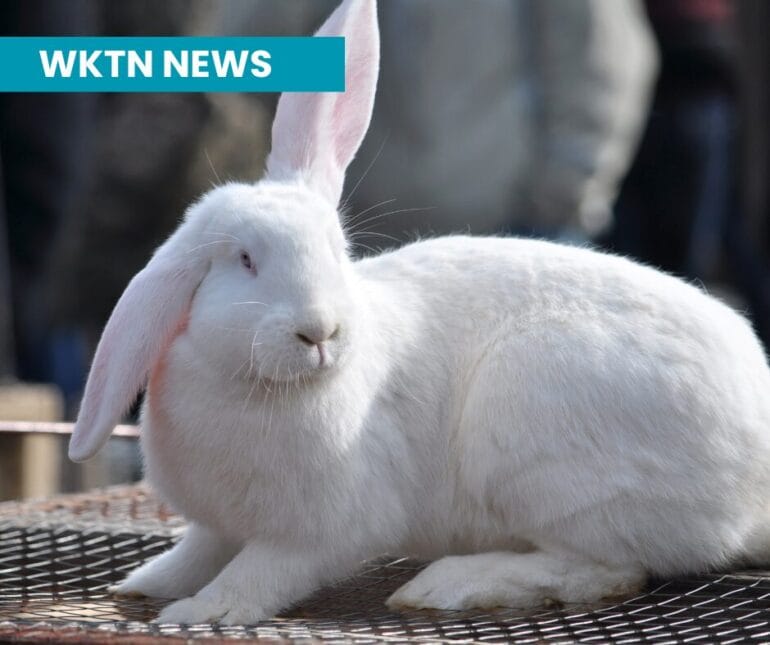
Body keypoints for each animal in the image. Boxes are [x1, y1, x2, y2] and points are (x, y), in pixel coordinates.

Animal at [68, 0, 770, 626]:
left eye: (338, 250)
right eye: (244, 260)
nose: (320, 332)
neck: (256, 389)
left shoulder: (326, 528)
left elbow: (262, 571)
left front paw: (202, 611)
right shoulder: (217, 523)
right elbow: (200, 549)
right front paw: (147, 582)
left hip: (547, 450)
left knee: (607, 568)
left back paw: (445, 586)